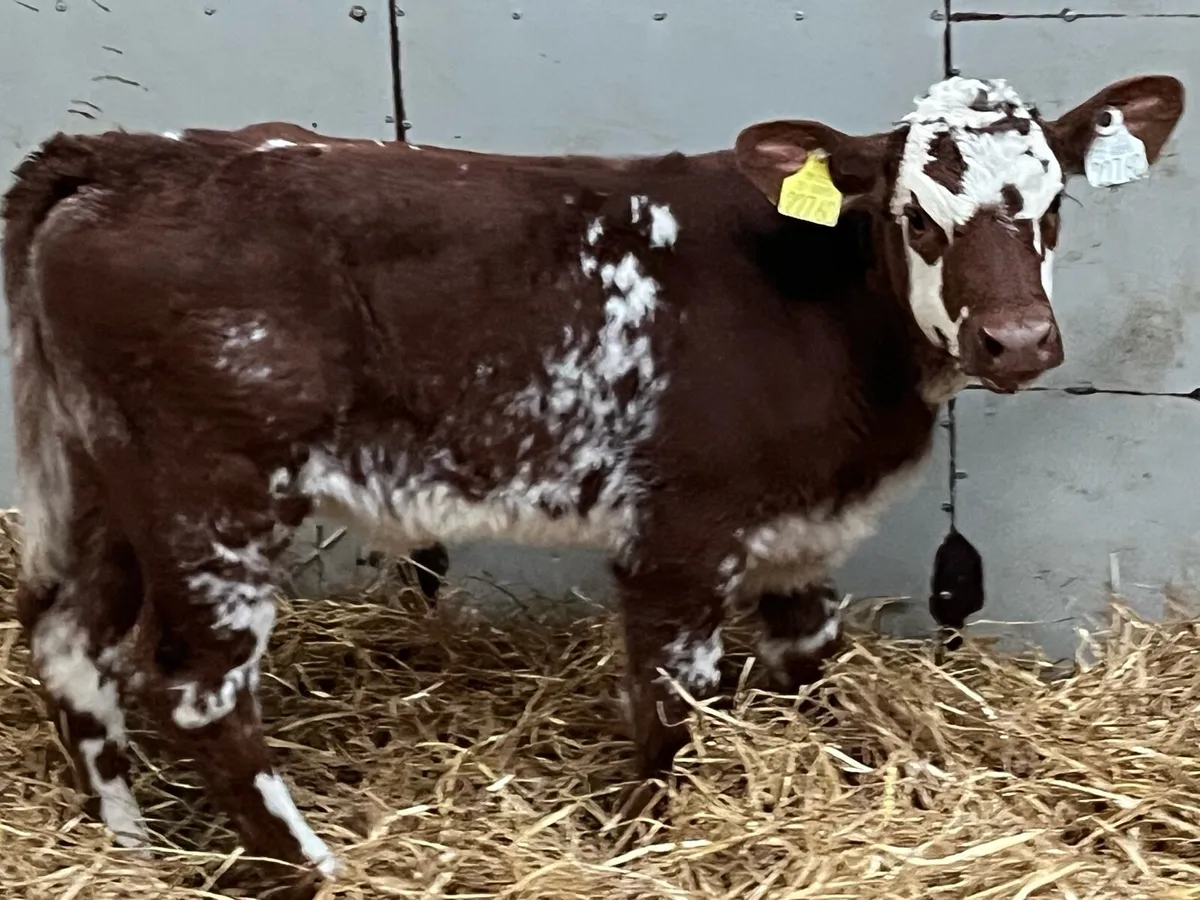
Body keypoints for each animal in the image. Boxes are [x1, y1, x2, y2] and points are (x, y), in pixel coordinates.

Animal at [2, 73, 1184, 882]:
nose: (1017, 340)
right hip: (213, 496)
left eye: (1051, 206)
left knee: (67, 641)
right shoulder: (679, 535)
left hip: (102, 479)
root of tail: (118, 155)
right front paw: (651, 846)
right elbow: (672, 708)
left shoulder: (795, 538)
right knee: (195, 691)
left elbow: (813, 677)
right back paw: (312, 871)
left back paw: (129, 851)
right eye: (916, 219)